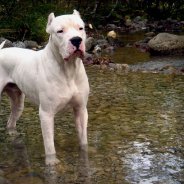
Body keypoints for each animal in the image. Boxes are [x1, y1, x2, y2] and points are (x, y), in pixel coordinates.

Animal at [0, 10, 89, 165]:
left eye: (81, 28)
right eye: (60, 31)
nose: (76, 40)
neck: (68, 69)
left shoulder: (81, 110)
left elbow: (83, 141)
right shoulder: (46, 114)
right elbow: (49, 146)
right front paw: (51, 163)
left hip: (18, 102)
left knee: (11, 121)